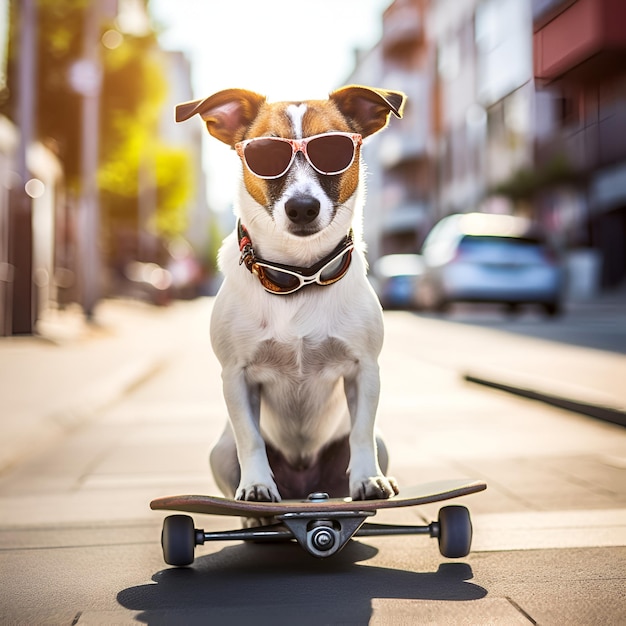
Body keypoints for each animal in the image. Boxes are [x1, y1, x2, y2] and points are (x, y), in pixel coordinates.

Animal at [176, 84, 404, 502]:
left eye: (333, 151)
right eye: (265, 155)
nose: (302, 207)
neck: (300, 275)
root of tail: (305, 491)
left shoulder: (364, 371)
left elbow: (361, 432)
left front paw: (369, 478)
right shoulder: (236, 378)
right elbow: (250, 438)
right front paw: (256, 484)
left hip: (374, 447)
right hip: (220, 452)